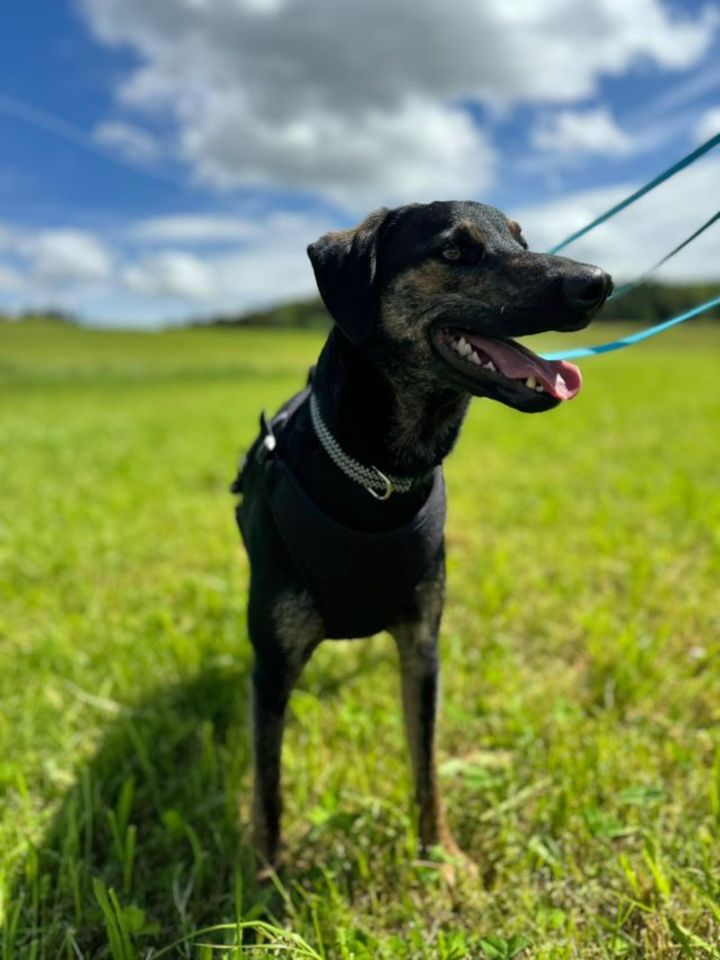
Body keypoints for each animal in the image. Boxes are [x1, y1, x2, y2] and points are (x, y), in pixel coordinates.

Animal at [232, 199, 612, 872]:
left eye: (522, 241)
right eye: (454, 251)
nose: (597, 282)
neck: (377, 478)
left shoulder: (422, 647)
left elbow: (427, 763)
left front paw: (442, 855)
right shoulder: (273, 666)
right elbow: (268, 788)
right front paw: (265, 878)